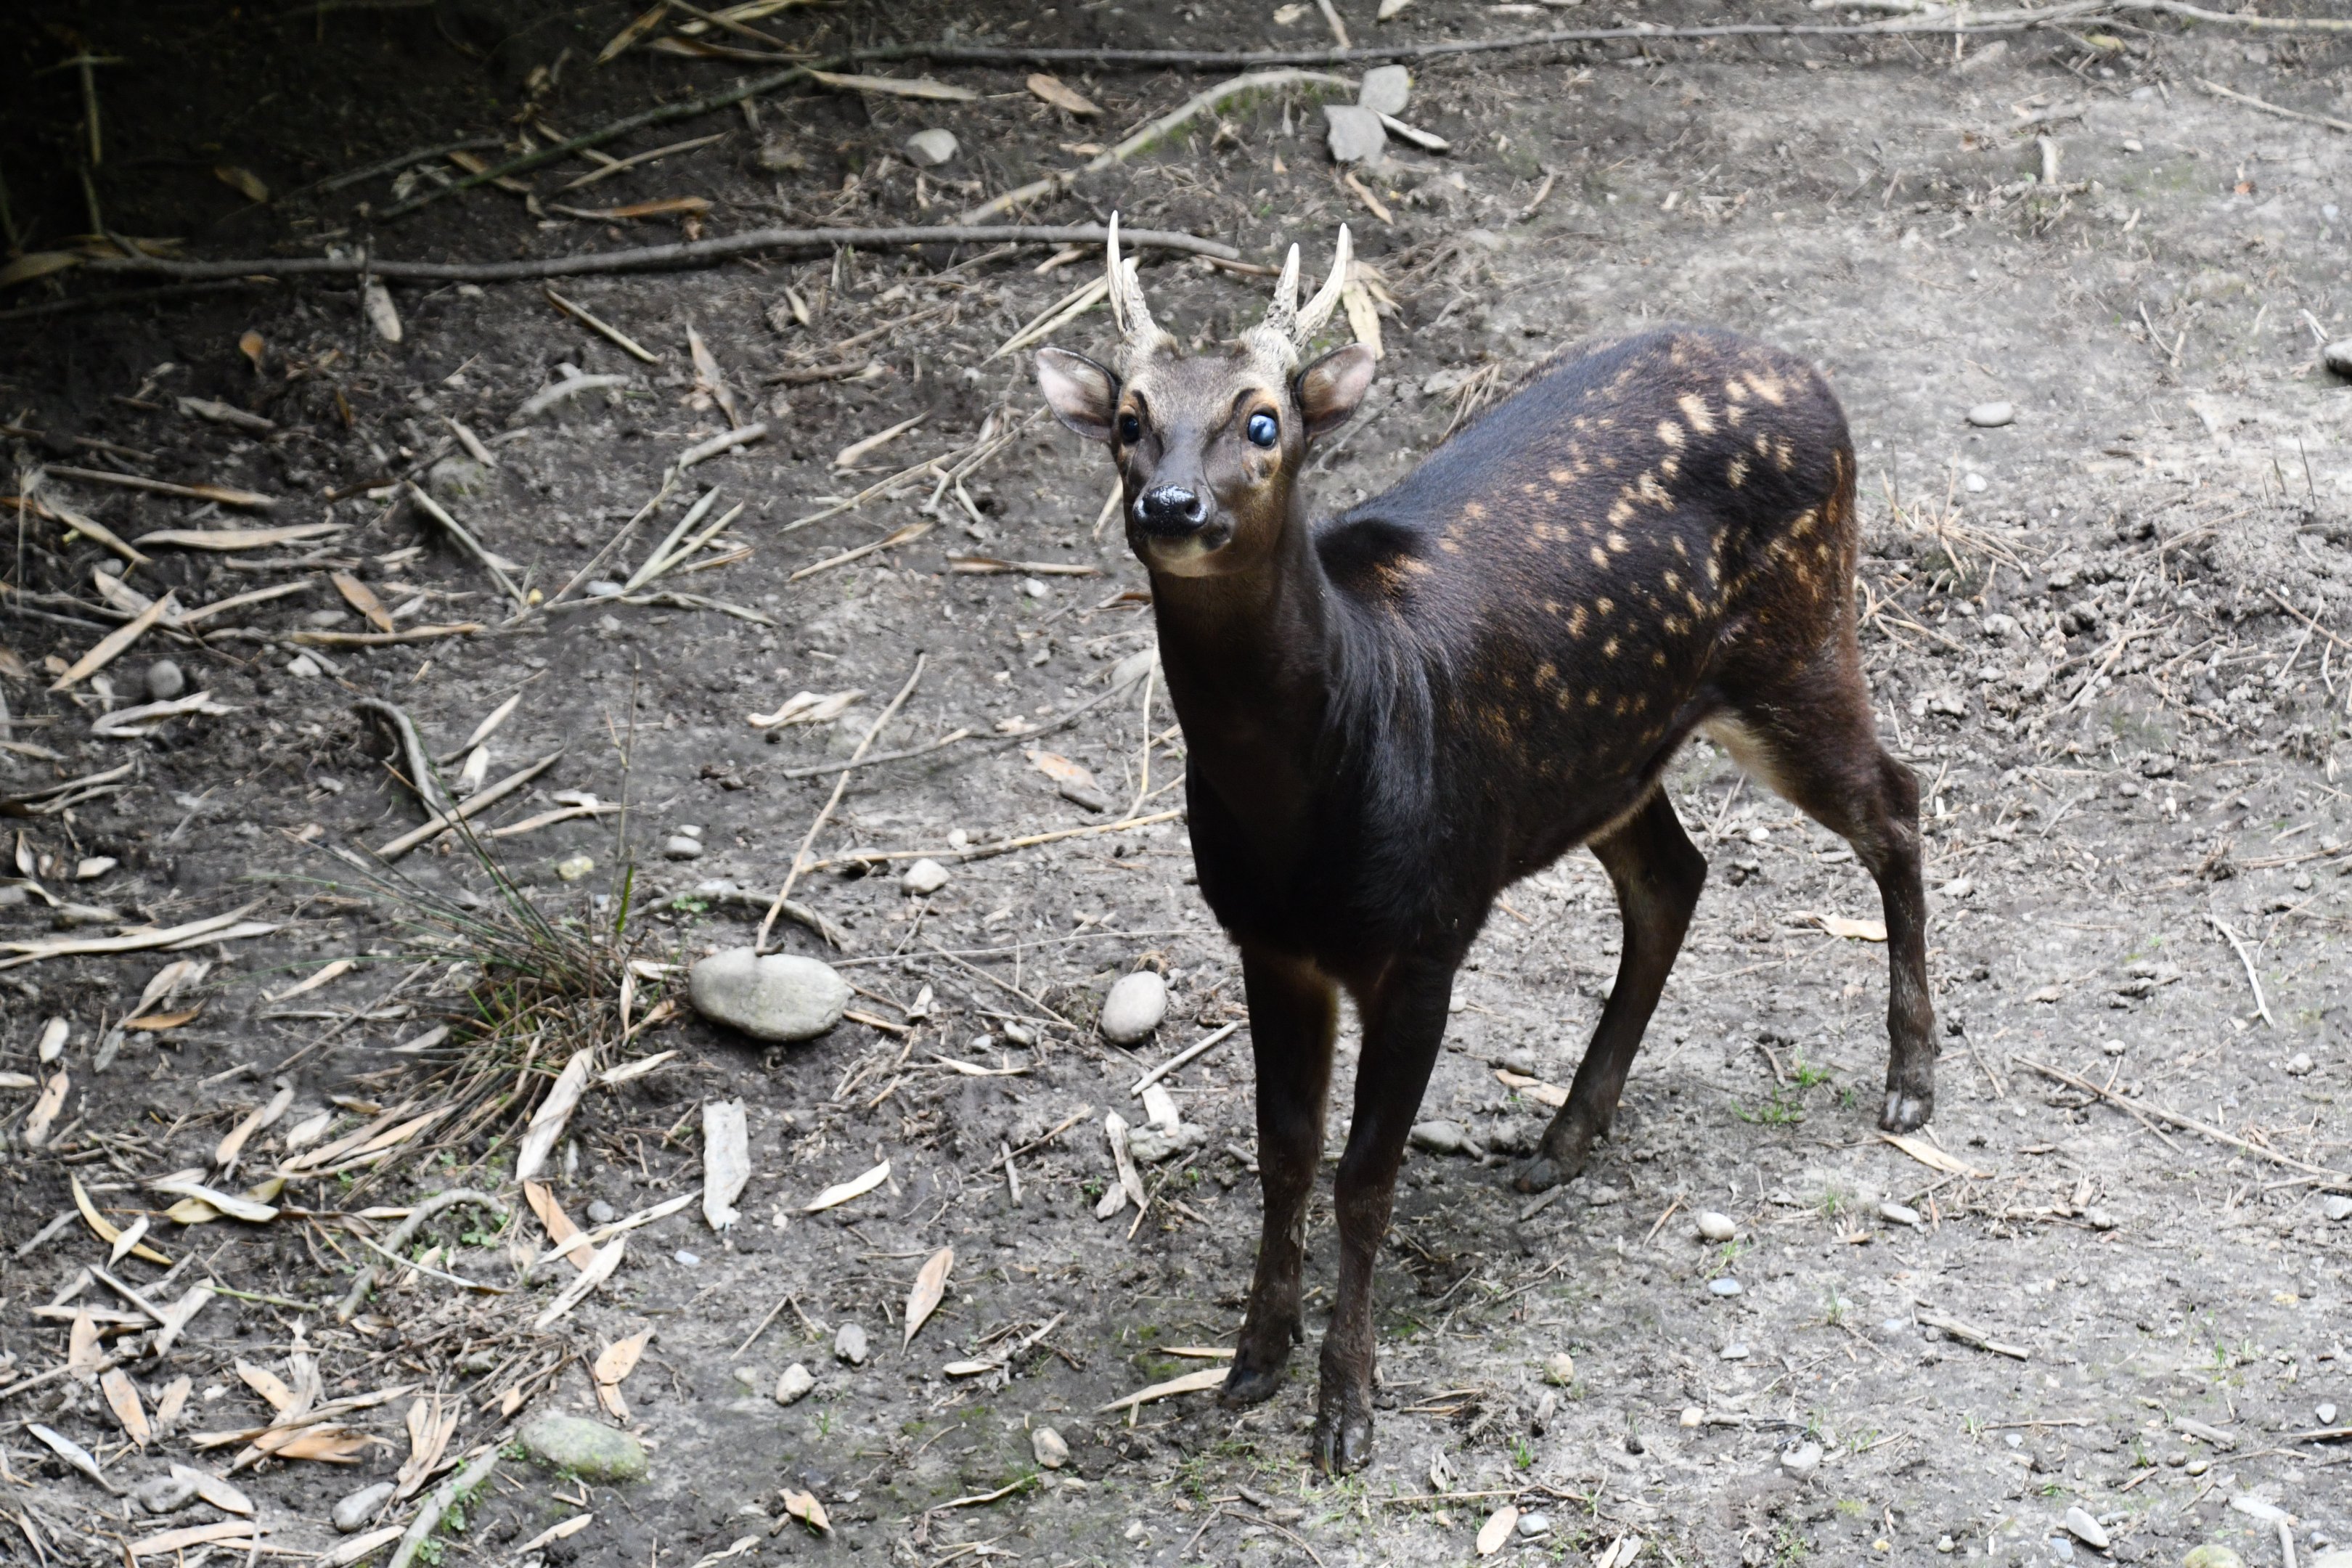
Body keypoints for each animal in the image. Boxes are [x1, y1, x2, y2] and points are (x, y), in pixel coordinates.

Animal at [1034, 218, 1934, 1473]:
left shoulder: (1426, 929)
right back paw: (1564, 1136)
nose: (1169, 505)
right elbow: (1285, 1152)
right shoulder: (1268, 940)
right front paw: (1250, 1362)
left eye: (1262, 419)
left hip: (1798, 639)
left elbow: (1366, 1176)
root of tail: (1814, 382)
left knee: (1897, 799)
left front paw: (1348, 1411)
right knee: (1676, 876)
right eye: (1129, 417)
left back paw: (1909, 1083)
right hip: (1610, 756)